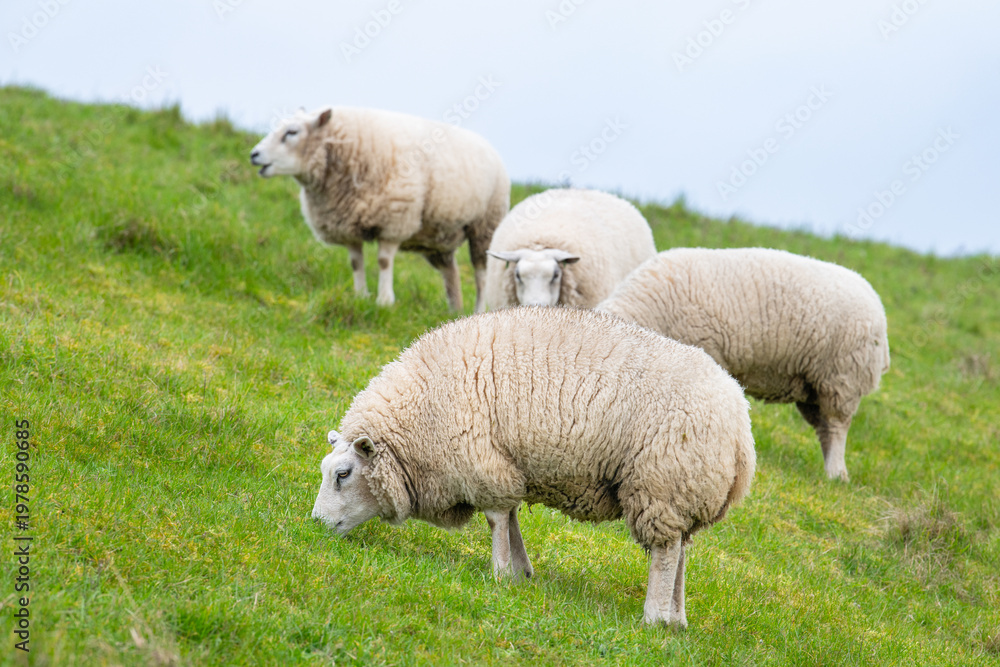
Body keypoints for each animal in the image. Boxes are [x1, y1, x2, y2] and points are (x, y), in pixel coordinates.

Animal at [250, 107, 510, 312]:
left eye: (292, 132)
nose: (254, 155)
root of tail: (489, 146)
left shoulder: (394, 219)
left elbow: (384, 262)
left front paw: (384, 301)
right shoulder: (347, 226)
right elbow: (356, 263)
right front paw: (360, 296)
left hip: (485, 225)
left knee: (481, 274)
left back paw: (478, 310)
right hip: (439, 237)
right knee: (451, 273)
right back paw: (454, 310)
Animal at [311, 307, 756, 628]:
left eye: (343, 474)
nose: (314, 524)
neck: (421, 417)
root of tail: (741, 428)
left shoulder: (482, 461)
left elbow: (496, 519)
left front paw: (498, 572)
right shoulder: (506, 466)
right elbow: (510, 518)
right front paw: (521, 572)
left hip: (662, 484)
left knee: (665, 553)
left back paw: (653, 617)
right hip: (686, 492)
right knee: (681, 552)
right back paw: (676, 619)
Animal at [597, 247, 890, 481]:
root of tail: (877, 305)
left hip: (842, 379)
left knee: (837, 427)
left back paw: (836, 473)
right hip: (814, 388)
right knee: (825, 431)